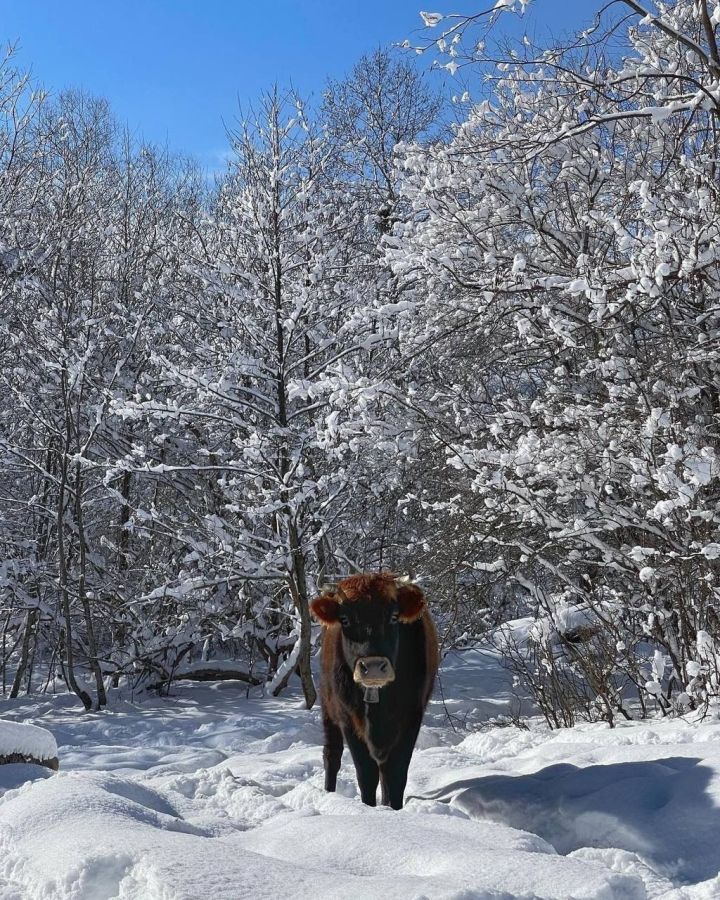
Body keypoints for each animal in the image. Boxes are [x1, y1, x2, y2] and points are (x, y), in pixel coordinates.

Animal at [310, 572, 438, 812]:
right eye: (345, 619)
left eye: (394, 616)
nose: (374, 666)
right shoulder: (348, 720)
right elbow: (366, 774)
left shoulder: (411, 719)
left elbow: (395, 774)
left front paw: (392, 809)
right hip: (328, 709)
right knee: (331, 755)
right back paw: (328, 793)